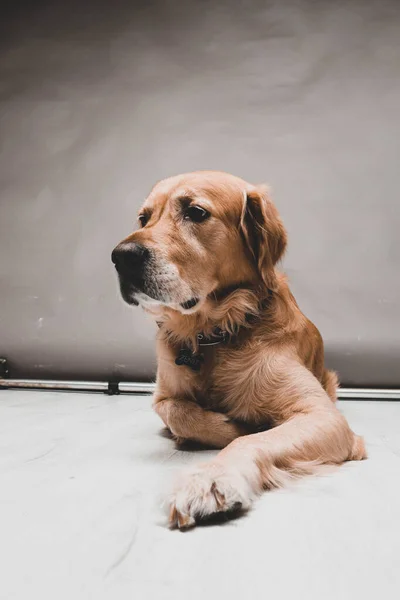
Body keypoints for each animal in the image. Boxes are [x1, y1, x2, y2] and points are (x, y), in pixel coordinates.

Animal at [111, 170, 366, 528]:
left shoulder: (323, 416)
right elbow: (179, 412)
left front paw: (210, 477)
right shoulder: (162, 395)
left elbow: (251, 439)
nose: (122, 256)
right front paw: (220, 429)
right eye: (144, 218)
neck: (212, 334)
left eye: (196, 212)